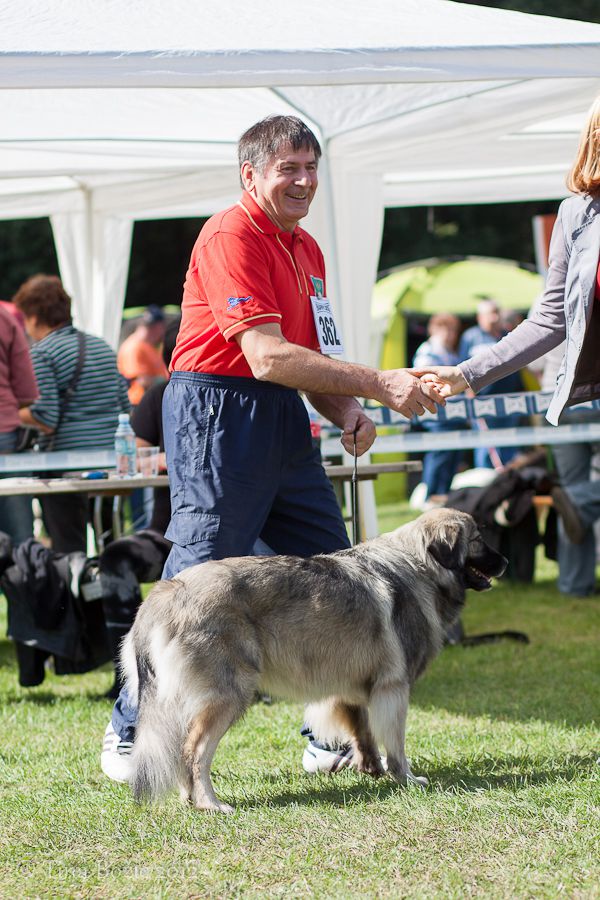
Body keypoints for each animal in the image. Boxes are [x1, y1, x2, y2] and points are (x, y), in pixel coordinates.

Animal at [122, 510, 506, 812]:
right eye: (477, 539)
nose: (504, 562)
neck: (419, 567)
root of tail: (165, 593)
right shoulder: (393, 689)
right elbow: (395, 743)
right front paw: (406, 778)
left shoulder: (355, 686)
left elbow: (363, 731)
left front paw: (372, 769)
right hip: (228, 696)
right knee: (194, 751)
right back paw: (210, 803)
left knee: (181, 751)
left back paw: (190, 798)